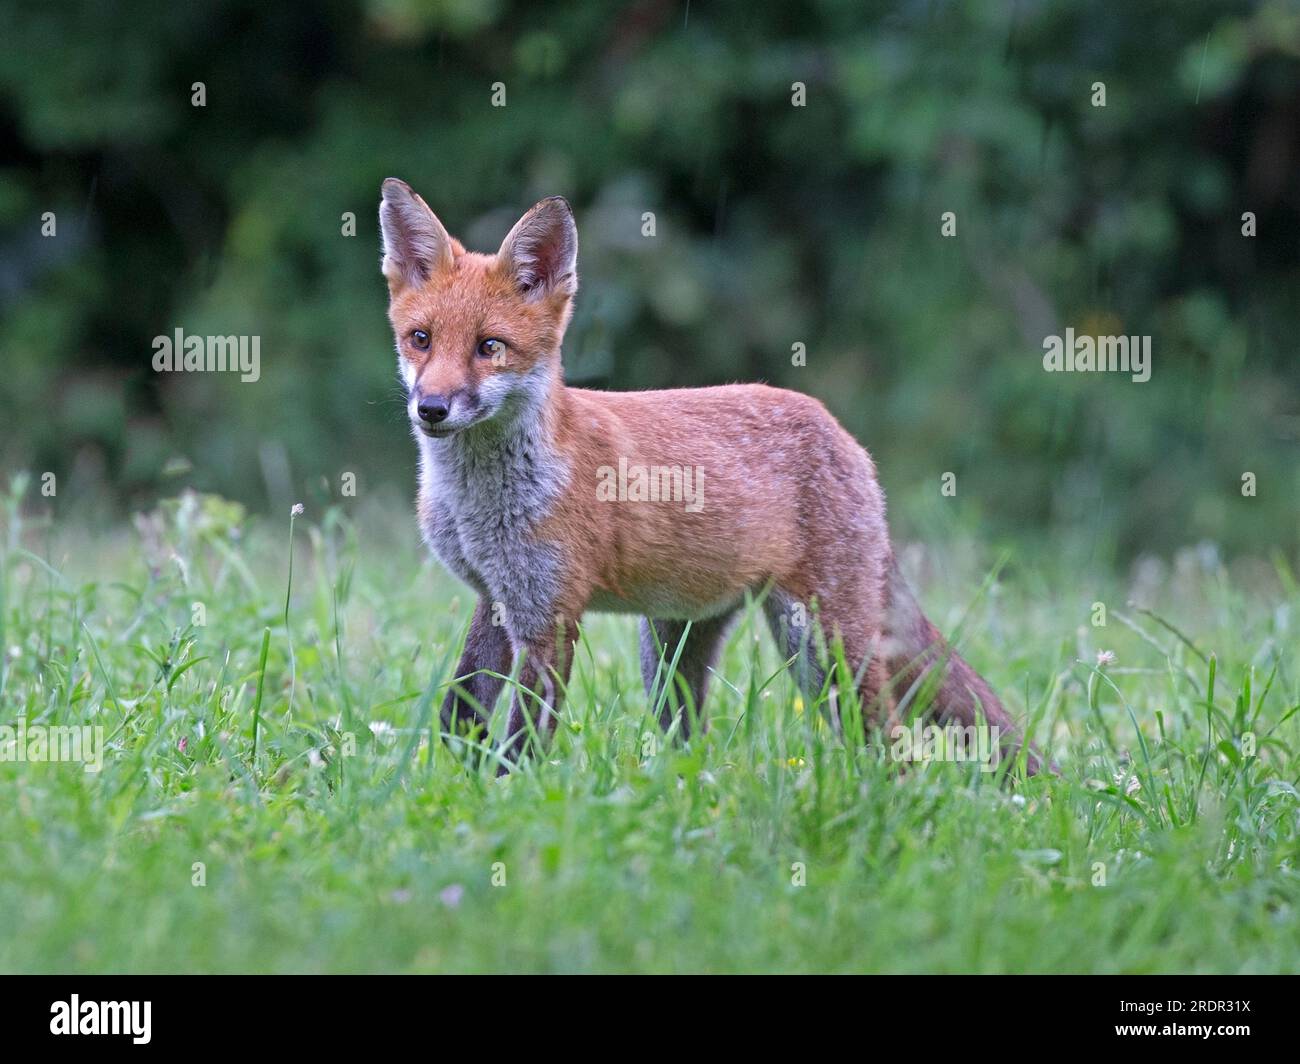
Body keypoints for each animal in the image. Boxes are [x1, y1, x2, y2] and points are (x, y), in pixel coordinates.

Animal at [377, 178, 1045, 775]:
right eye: (421, 339)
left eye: (490, 347)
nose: (430, 409)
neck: (478, 506)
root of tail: (841, 434)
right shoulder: (496, 597)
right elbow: (458, 717)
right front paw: (458, 785)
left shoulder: (550, 617)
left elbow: (519, 743)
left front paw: (507, 800)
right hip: (670, 652)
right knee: (694, 740)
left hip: (823, 648)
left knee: (889, 742)